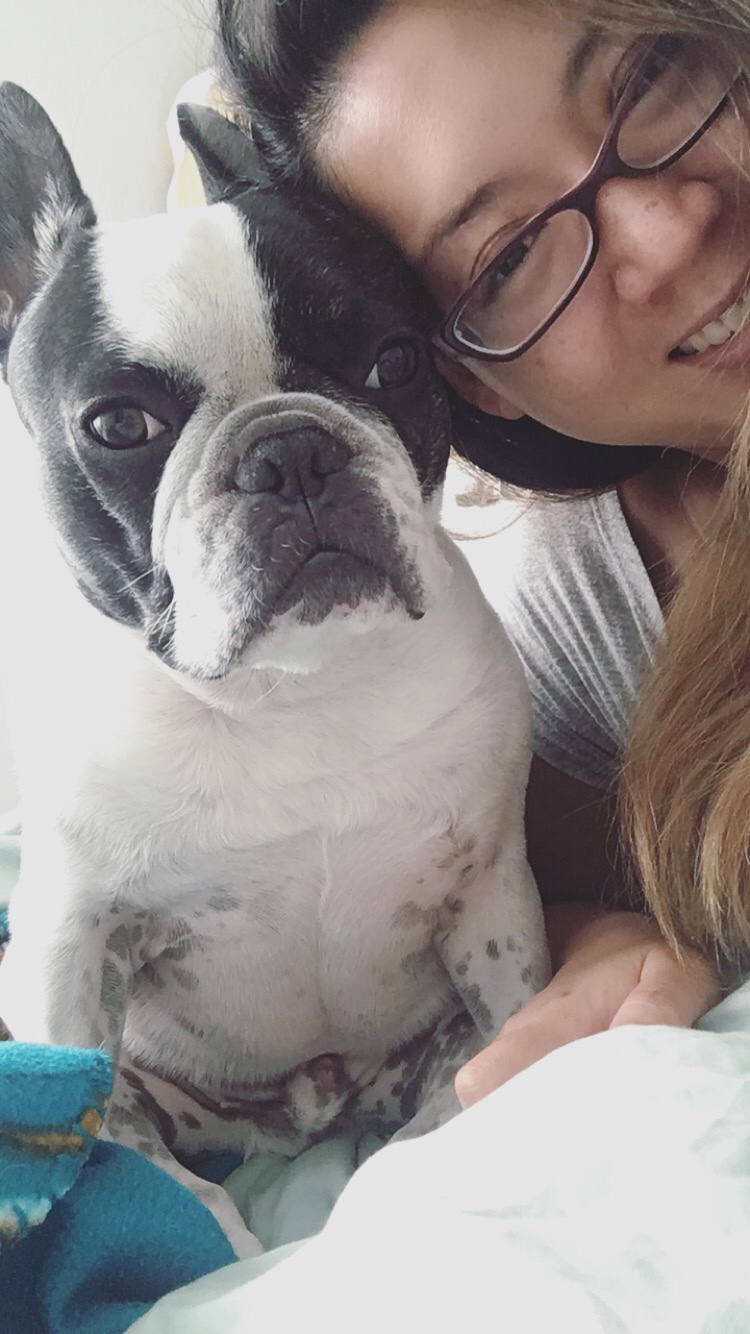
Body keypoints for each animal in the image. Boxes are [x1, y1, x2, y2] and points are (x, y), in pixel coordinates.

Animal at [0, 84, 549, 1256]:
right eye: (121, 424)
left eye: (396, 361)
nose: (292, 449)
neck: (292, 691)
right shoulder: (71, 949)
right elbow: (122, 1158)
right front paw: (221, 1253)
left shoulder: (491, 893)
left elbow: (509, 1031)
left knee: (437, 1108)